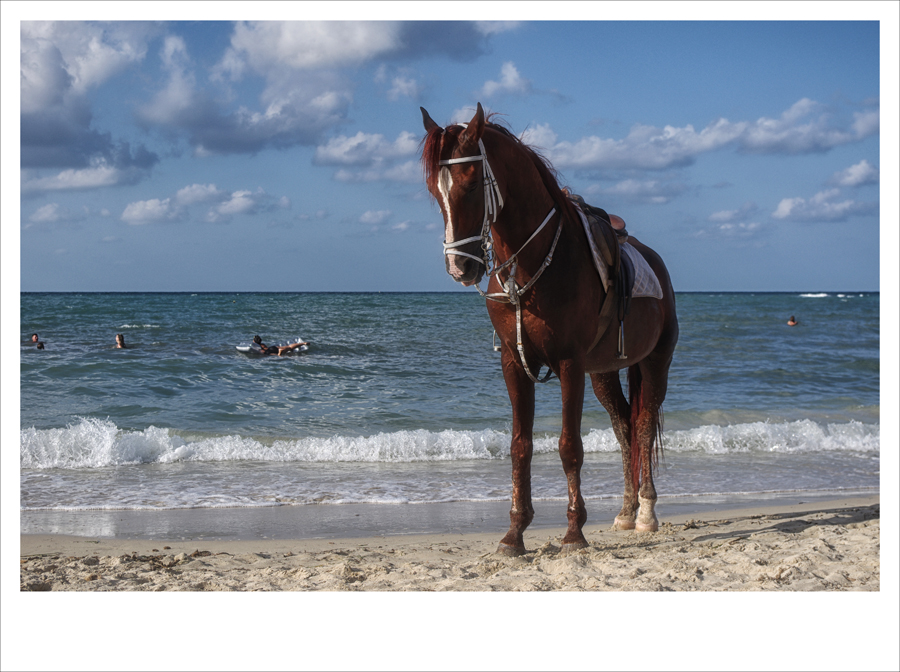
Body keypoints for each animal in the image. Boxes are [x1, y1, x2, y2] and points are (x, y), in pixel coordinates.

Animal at [420, 103, 676, 556]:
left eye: (471, 183)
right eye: (436, 190)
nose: (460, 267)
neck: (532, 264)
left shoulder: (569, 364)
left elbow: (569, 446)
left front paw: (574, 533)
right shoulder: (513, 363)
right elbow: (520, 446)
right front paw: (515, 533)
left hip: (654, 362)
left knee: (644, 426)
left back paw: (645, 511)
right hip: (604, 372)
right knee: (624, 428)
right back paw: (626, 511)